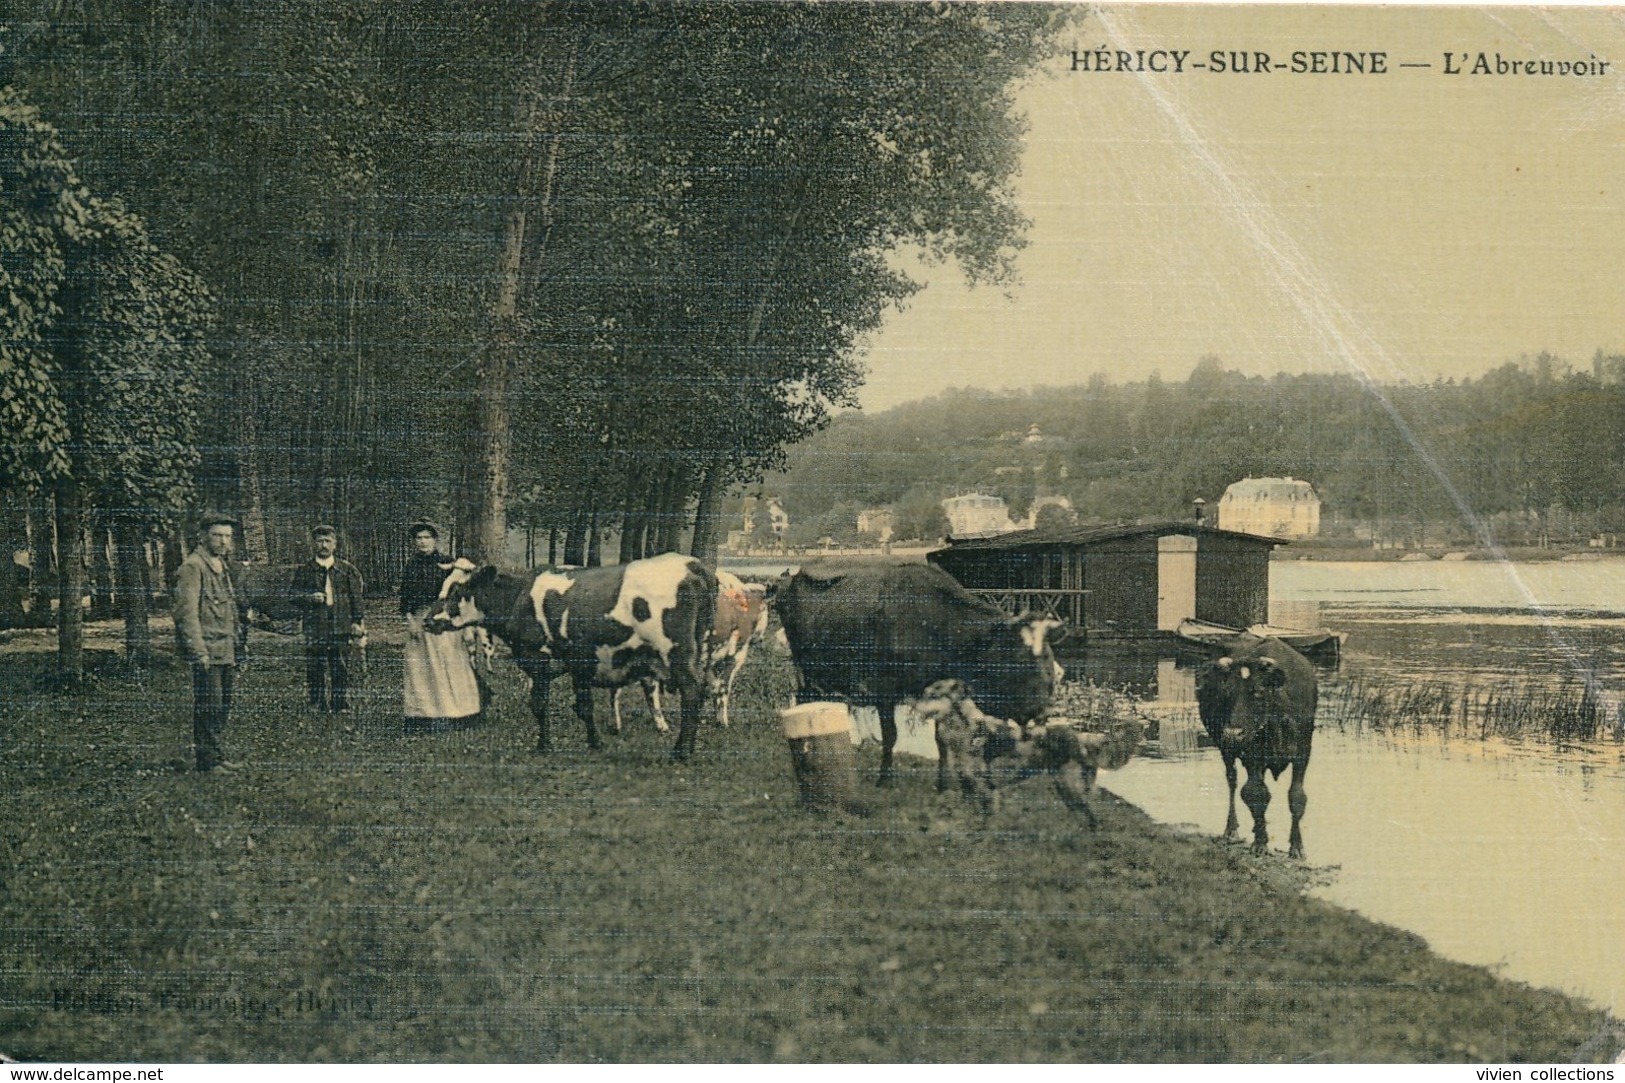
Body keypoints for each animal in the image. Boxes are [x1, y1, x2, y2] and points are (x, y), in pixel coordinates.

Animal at [422, 549, 715, 757]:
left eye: (457, 590)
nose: (427, 620)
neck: (519, 596)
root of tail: (693, 565)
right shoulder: (580, 663)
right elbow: (584, 707)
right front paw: (595, 743)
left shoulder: (536, 657)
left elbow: (539, 704)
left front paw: (544, 746)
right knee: (700, 691)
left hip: (676, 653)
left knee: (691, 692)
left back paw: (681, 752)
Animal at [773, 556, 1066, 783]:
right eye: (1021, 659)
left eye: (1049, 662)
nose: (1044, 711)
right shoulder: (884, 689)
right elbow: (890, 736)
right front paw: (884, 780)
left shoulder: (939, 693)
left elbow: (941, 740)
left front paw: (943, 785)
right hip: (806, 669)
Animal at [1196, 634, 1319, 852]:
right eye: (1227, 692)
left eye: (1258, 693)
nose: (1233, 733)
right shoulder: (1251, 755)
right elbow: (1256, 793)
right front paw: (1261, 841)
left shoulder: (1303, 753)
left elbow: (1297, 796)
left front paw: (1296, 847)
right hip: (1226, 749)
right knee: (1233, 780)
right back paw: (1232, 829)